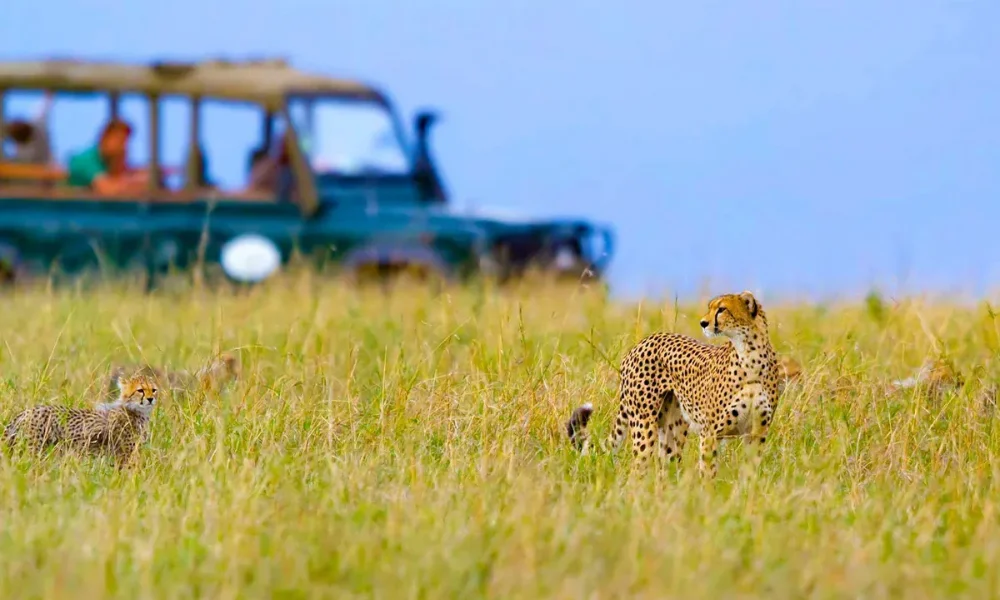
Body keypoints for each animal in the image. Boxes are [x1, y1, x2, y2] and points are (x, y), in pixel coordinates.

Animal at [4, 367, 159, 468]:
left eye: (153, 390)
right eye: (140, 390)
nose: (150, 399)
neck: (134, 410)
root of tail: (25, 412)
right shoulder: (124, 455)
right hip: (34, 450)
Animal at [565, 291, 782, 479]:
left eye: (721, 309)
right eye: (711, 308)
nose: (703, 323)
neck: (750, 355)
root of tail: (642, 342)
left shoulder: (757, 433)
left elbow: (750, 472)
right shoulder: (710, 432)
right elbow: (708, 472)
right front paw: (708, 496)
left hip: (674, 429)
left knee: (665, 467)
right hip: (644, 425)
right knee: (638, 469)